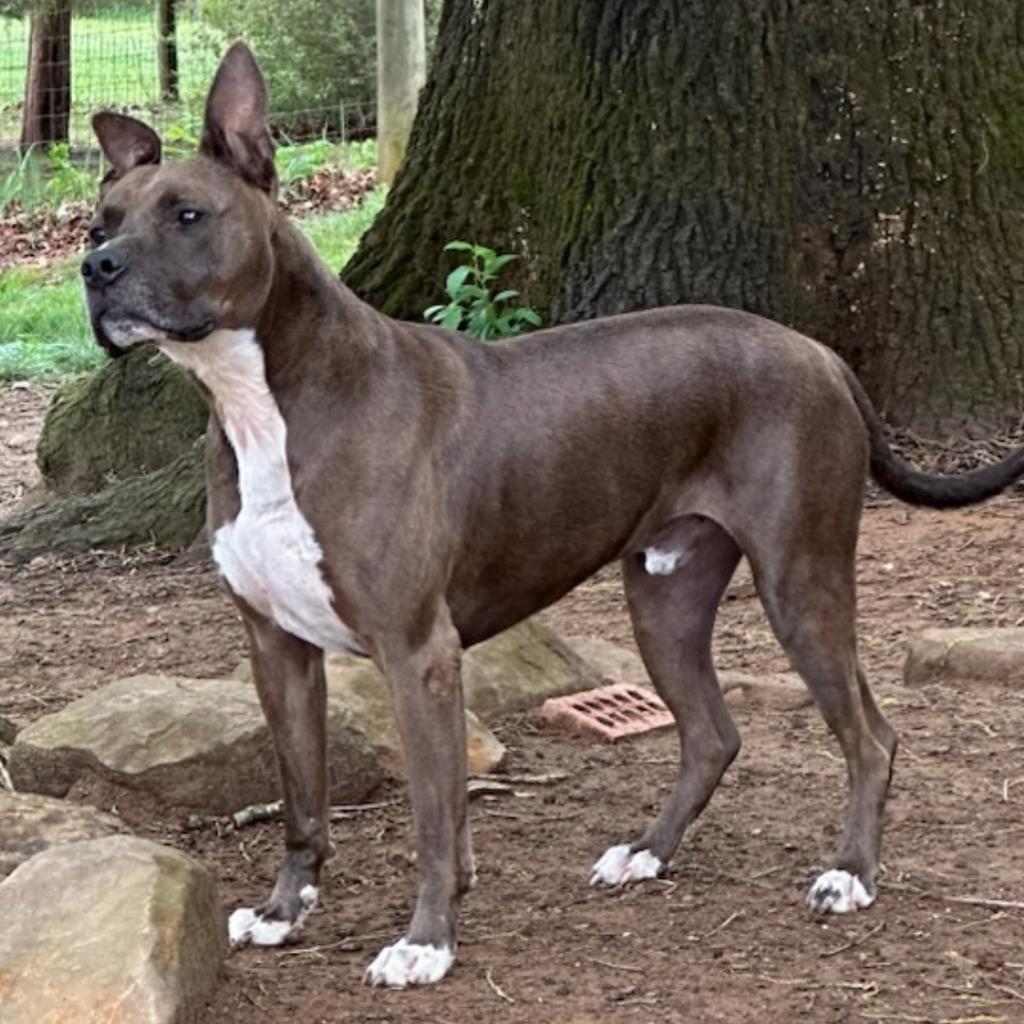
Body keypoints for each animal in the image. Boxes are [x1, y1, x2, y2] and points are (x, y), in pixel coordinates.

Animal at [83, 44, 1024, 987]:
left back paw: (849, 873)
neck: (266, 403)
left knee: (870, 735)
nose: (97, 271)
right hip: (665, 595)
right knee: (712, 735)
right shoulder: (277, 649)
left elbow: (432, 819)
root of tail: (822, 352)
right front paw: (286, 912)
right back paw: (648, 851)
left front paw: (426, 942)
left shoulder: (416, 653)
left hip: (802, 582)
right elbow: (304, 802)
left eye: (188, 215)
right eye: (101, 224)